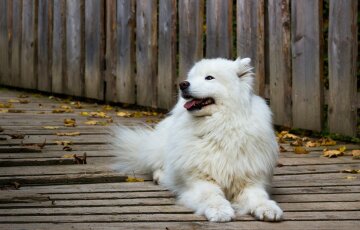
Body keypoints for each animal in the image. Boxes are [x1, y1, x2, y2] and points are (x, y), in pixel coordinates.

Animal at [113, 56, 284, 222]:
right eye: (191, 77)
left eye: (209, 77)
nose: (182, 84)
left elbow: (259, 197)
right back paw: (161, 176)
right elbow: (213, 196)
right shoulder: (200, 180)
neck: (218, 127)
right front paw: (220, 211)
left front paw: (268, 209)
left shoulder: (250, 181)